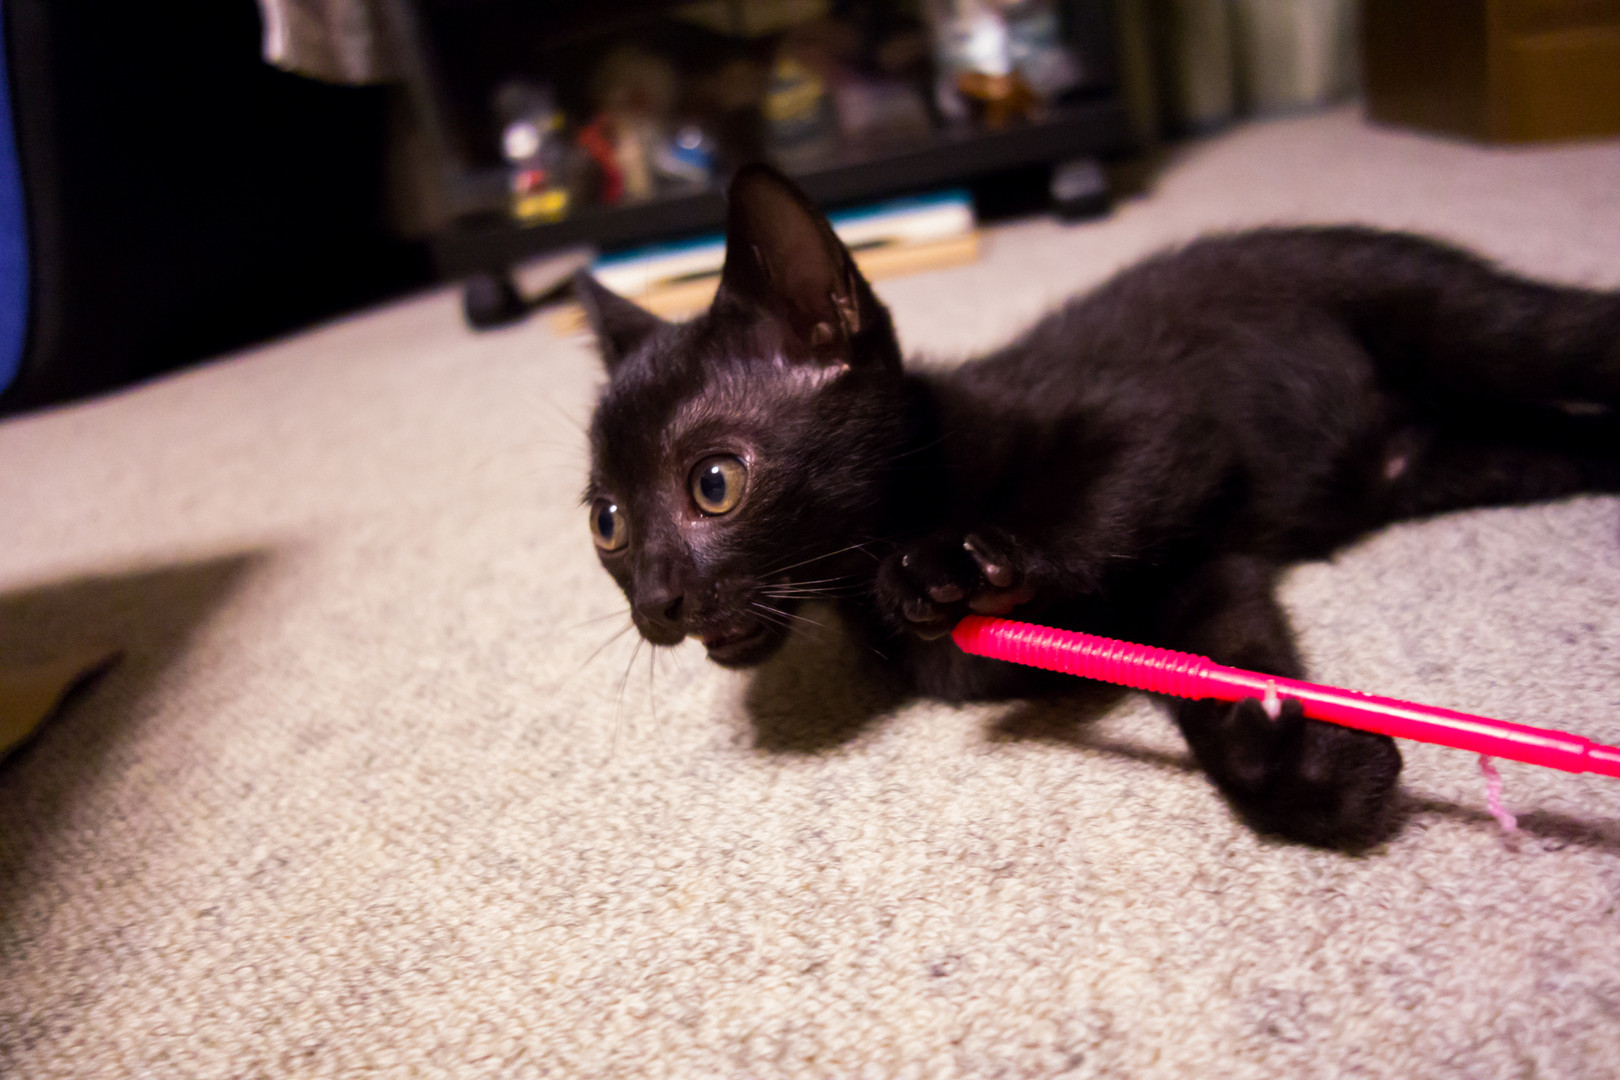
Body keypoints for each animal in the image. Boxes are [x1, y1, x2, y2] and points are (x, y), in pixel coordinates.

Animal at [576, 164, 1620, 849]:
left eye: (714, 485)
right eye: (607, 524)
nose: (657, 599)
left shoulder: (1162, 431)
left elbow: (1097, 505)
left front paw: (959, 566)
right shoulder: (1204, 567)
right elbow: (1220, 655)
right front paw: (1298, 764)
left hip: (1465, 323)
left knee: (1561, 335)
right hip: (1474, 457)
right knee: (1563, 442)